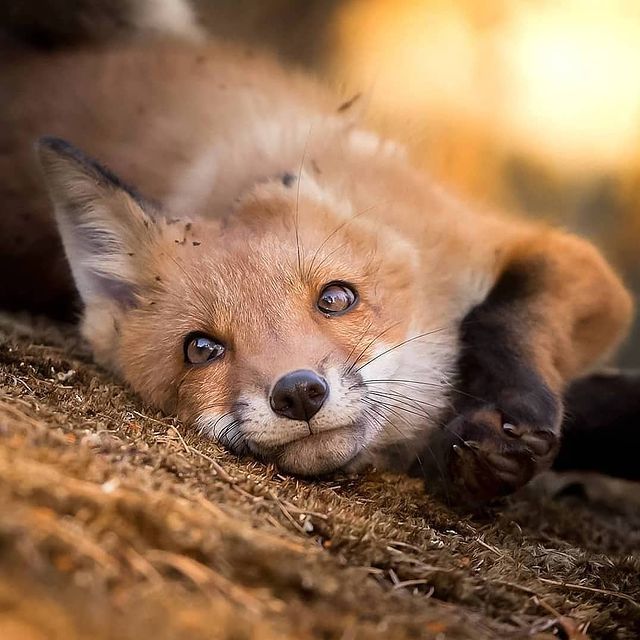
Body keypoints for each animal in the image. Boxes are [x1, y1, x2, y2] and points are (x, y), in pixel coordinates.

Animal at [1, 1, 638, 504]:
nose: (298, 393)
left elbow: (502, 319)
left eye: (336, 298)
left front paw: (507, 415)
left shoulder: (542, 256)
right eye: (201, 348)